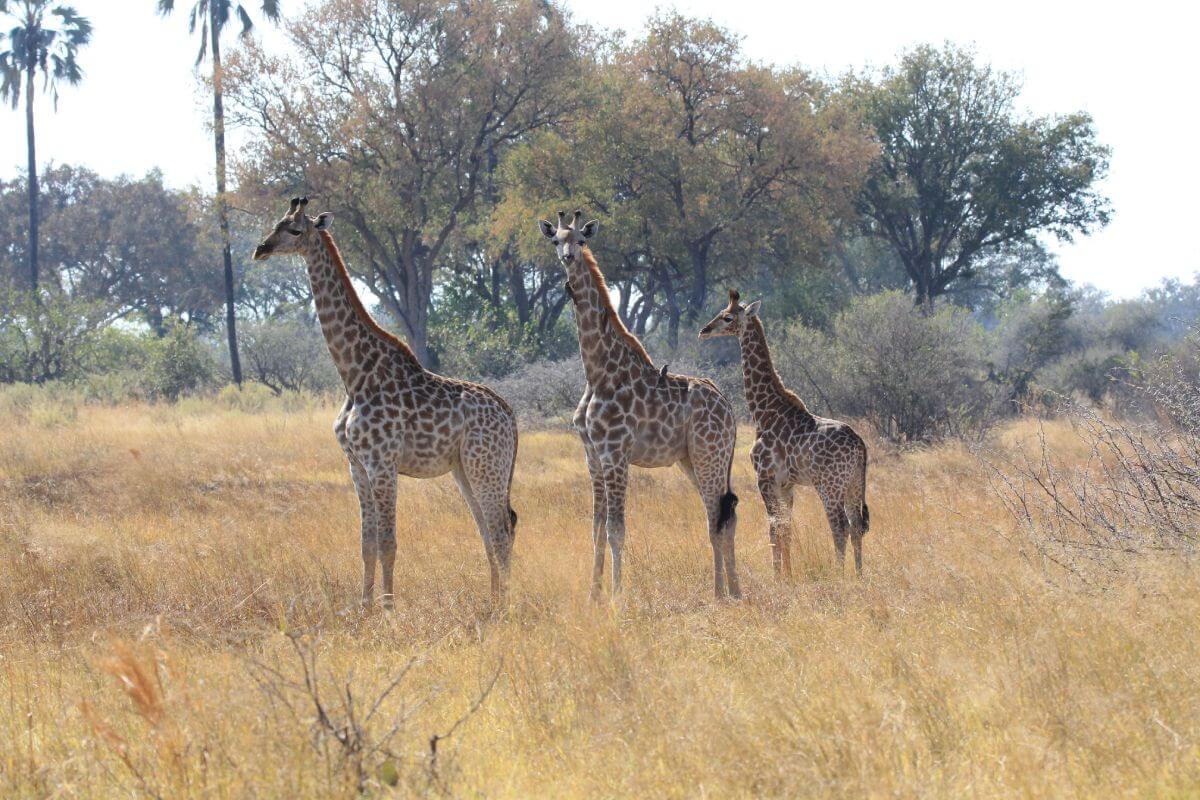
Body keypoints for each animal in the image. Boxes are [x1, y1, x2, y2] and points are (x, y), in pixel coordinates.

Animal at [250, 199, 518, 606]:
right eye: (276, 224)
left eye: (294, 230)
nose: (260, 249)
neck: (355, 375)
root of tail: (510, 415)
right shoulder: (355, 465)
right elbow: (367, 543)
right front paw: (364, 606)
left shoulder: (382, 462)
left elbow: (389, 542)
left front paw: (389, 608)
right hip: (466, 469)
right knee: (491, 530)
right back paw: (492, 603)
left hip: (485, 465)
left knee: (501, 530)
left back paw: (505, 607)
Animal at [537, 209, 739, 597]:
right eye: (556, 240)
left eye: (581, 240)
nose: (568, 258)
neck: (597, 373)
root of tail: (729, 408)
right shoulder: (593, 456)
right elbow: (596, 529)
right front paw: (594, 595)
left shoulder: (616, 453)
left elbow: (616, 529)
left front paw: (617, 596)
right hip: (692, 459)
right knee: (723, 512)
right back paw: (732, 590)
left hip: (710, 454)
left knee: (718, 515)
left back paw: (720, 592)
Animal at [696, 291, 873, 578]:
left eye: (728, 317)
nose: (704, 331)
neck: (764, 411)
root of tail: (860, 446)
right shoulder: (787, 484)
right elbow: (786, 528)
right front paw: (788, 576)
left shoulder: (765, 478)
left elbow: (774, 527)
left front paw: (777, 576)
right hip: (855, 484)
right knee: (857, 525)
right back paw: (858, 575)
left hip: (829, 485)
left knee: (840, 526)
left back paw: (839, 575)